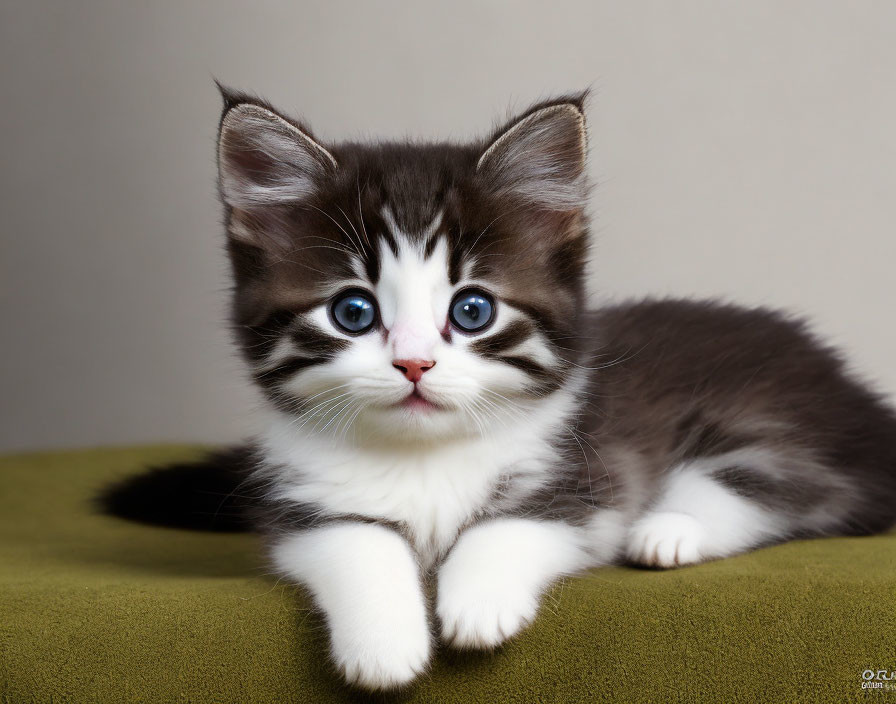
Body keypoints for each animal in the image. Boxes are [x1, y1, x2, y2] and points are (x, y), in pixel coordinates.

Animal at [101, 88, 896, 692]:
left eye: (472, 310)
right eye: (353, 312)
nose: (414, 364)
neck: (425, 459)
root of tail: (851, 389)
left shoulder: (587, 466)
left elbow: (518, 522)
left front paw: (476, 601)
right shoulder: (294, 502)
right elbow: (354, 539)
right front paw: (385, 643)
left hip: (778, 417)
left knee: (781, 482)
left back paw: (668, 530)